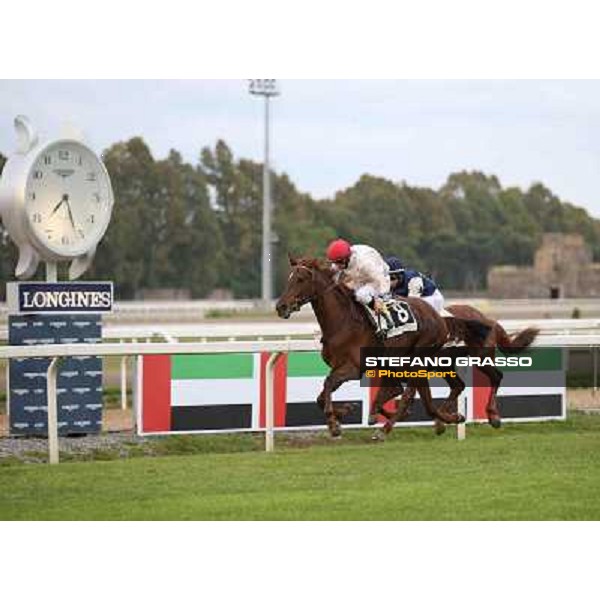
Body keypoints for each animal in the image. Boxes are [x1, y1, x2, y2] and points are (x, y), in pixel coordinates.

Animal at [276, 256, 478, 436]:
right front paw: (345, 411)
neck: (342, 322)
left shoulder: (354, 368)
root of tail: (440, 318)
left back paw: (386, 429)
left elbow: (328, 383)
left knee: (410, 394)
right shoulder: (339, 366)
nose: (281, 307)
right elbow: (321, 396)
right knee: (436, 394)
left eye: (300, 279)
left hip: (419, 358)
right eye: (289, 279)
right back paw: (447, 419)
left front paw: (334, 423)